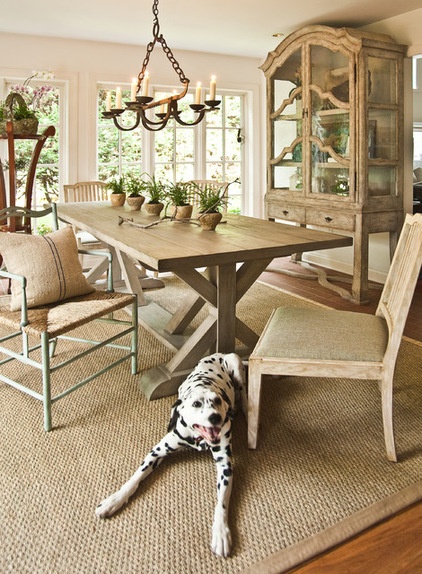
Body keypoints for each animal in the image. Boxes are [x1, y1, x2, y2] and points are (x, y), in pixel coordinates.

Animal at [95, 354, 247, 560]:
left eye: (217, 400)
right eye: (196, 404)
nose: (215, 417)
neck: (198, 439)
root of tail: (218, 354)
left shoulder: (226, 466)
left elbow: (221, 503)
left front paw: (221, 533)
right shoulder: (156, 452)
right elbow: (133, 480)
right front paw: (114, 500)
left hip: (235, 364)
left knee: (244, 393)